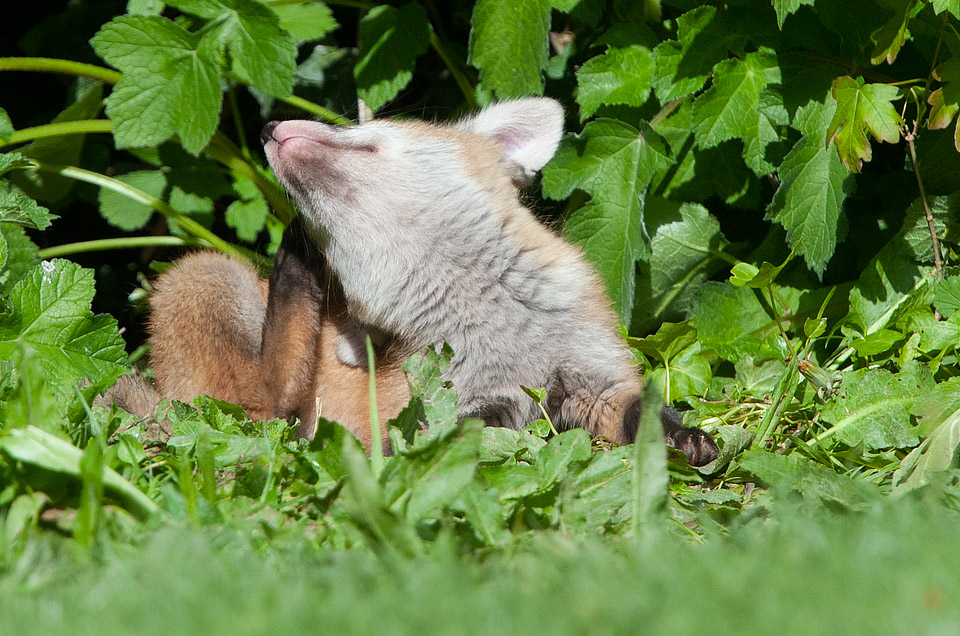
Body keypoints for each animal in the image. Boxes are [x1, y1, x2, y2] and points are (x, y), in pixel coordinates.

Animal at [141, 98, 712, 468]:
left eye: (368, 125)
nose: (267, 126)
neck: (499, 327)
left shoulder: (596, 376)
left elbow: (646, 413)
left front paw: (686, 440)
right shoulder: (457, 407)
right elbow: (441, 440)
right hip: (204, 274)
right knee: (266, 411)